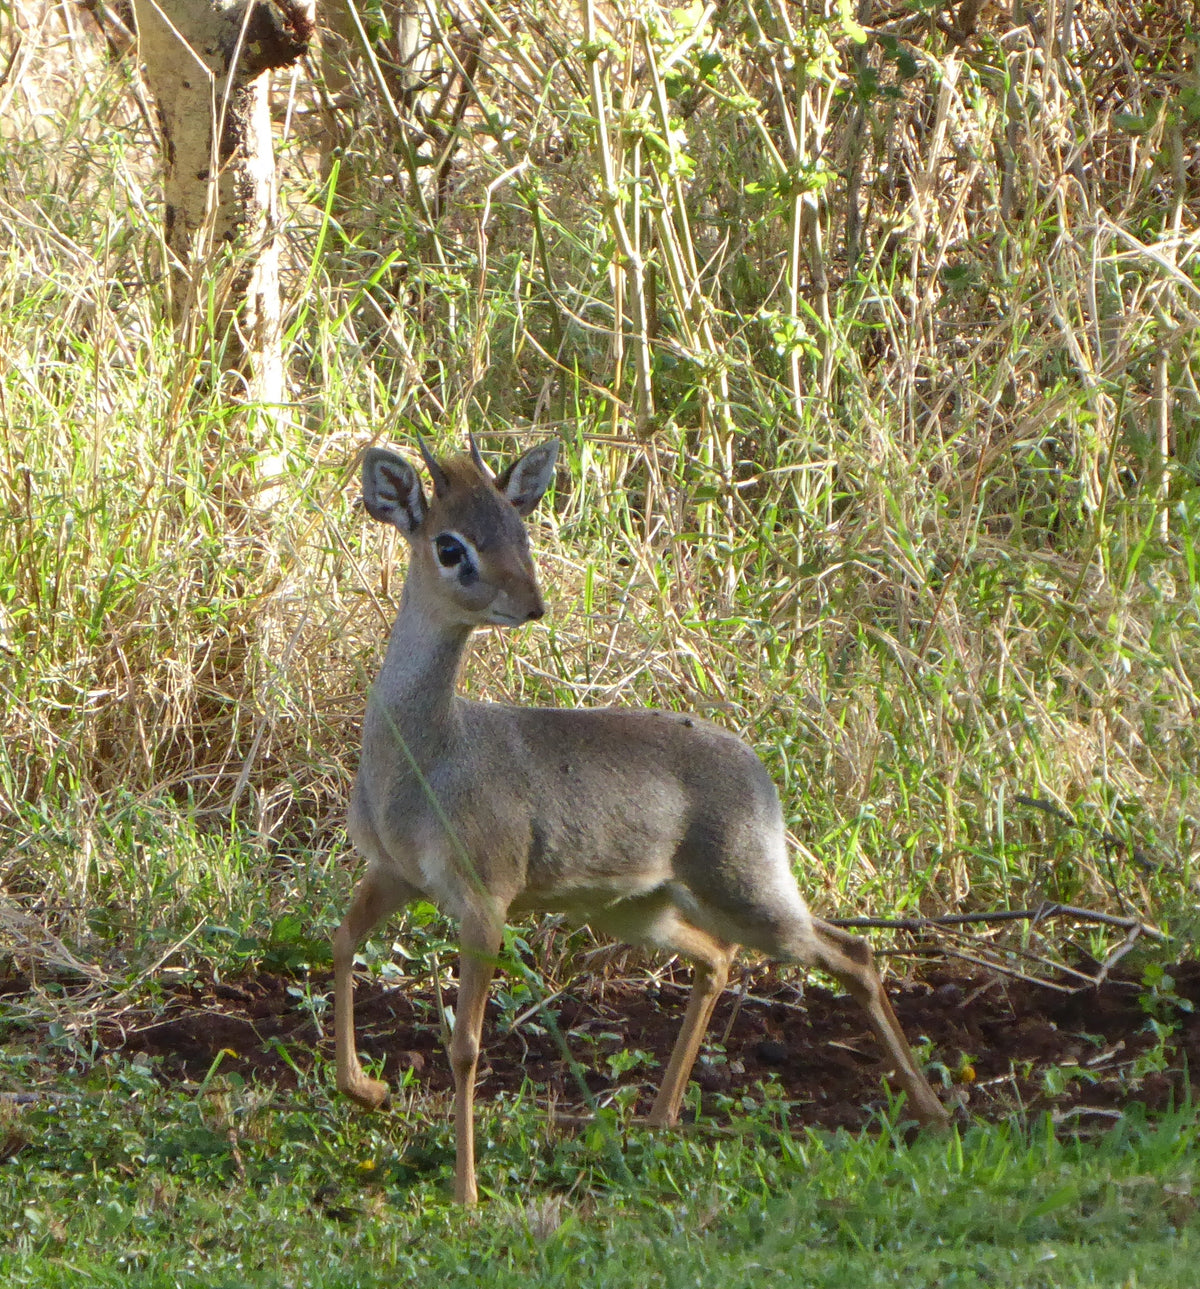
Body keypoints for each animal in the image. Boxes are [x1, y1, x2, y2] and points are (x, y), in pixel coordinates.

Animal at [334, 435, 949, 1205]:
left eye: (519, 531)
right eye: (451, 546)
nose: (531, 605)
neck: (424, 754)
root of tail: (758, 769)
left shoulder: (484, 902)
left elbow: (467, 1045)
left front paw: (465, 1193)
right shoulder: (396, 875)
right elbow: (342, 940)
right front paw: (367, 1090)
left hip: (746, 894)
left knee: (854, 952)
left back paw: (934, 1111)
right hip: (638, 908)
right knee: (718, 959)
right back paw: (659, 1118)